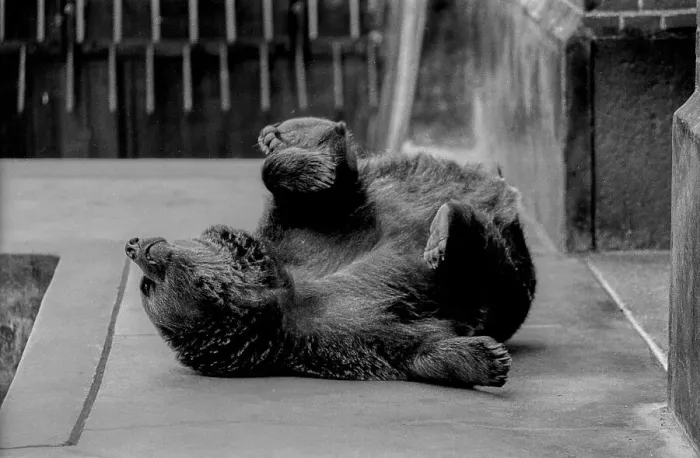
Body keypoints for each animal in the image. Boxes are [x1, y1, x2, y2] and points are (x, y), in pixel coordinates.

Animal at [124, 116, 536, 389]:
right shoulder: (336, 335)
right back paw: (446, 230)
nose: (133, 245)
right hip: (510, 279)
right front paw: (486, 360)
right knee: (487, 266)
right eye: (147, 288)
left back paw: (287, 133)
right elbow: (412, 347)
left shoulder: (305, 235)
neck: (282, 289)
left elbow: (320, 191)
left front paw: (303, 162)